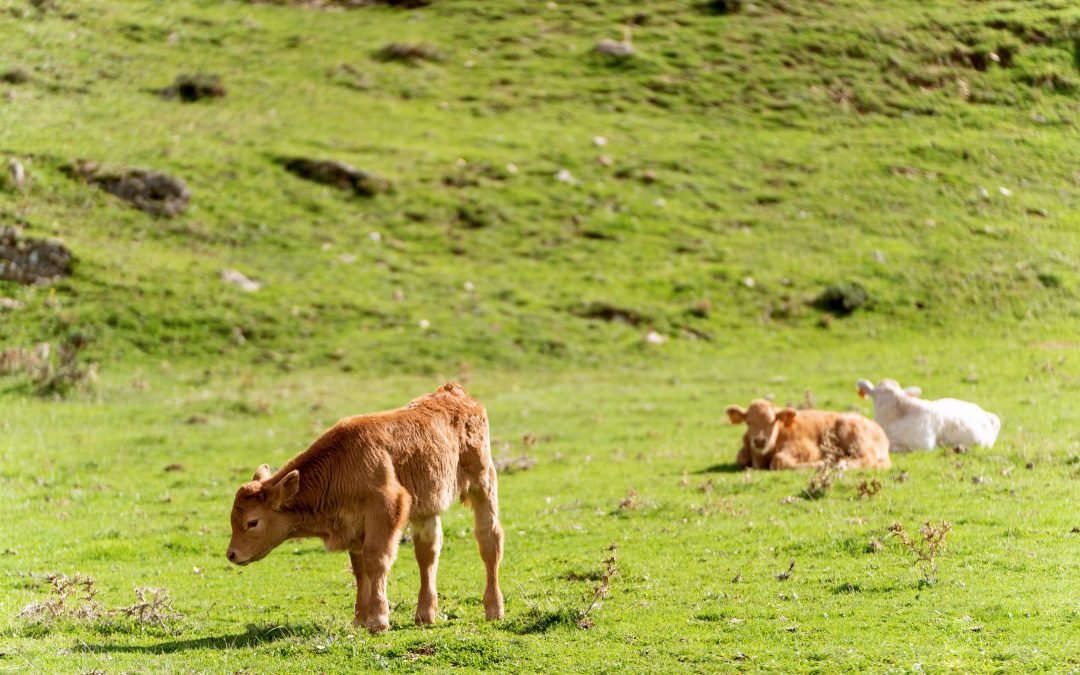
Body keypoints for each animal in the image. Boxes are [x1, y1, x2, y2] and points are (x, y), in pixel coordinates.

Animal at [226, 382, 504, 633]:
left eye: (252, 522)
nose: (232, 554)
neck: (343, 463)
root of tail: (455, 393)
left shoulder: (386, 510)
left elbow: (376, 560)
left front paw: (378, 620)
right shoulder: (354, 526)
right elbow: (360, 569)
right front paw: (360, 619)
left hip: (483, 484)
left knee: (489, 540)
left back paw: (494, 609)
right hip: (427, 508)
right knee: (428, 552)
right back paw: (425, 615)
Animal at [725, 399, 891, 470]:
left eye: (772, 421)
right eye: (748, 421)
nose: (759, 441)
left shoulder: (805, 449)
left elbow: (778, 461)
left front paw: (821, 463)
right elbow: (741, 458)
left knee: (865, 459)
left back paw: (838, 463)